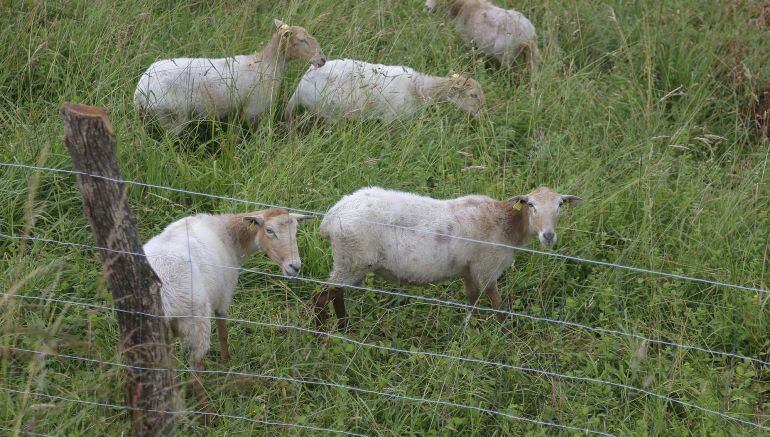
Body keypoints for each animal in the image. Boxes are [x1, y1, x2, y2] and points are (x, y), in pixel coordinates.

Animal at [132, 19, 324, 135]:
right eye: (302, 40)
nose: (322, 60)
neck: (267, 64)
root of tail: (140, 91)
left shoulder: (238, 112)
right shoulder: (252, 110)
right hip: (172, 117)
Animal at [142, 208, 314, 406]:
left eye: (296, 231)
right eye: (269, 230)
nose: (295, 267)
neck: (228, 235)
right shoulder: (224, 295)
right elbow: (223, 333)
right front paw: (226, 362)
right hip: (196, 324)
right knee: (195, 376)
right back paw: (207, 409)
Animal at [284, 58, 484, 125]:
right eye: (473, 95)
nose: (481, 114)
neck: (418, 88)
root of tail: (299, 88)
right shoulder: (390, 118)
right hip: (328, 111)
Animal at [308, 184, 580, 330]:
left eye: (560, 205)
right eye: (531, 205)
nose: (548, 236)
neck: (506, 224)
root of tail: (330, 217)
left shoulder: (469, 270)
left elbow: (471, 301)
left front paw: (466, 331)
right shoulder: (486, 268)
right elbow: (498, 306)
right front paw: (506, 337)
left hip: (350, 262)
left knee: (336, 294)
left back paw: (343, 328)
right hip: (352, 260)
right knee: (321, 296)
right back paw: (324, 335)